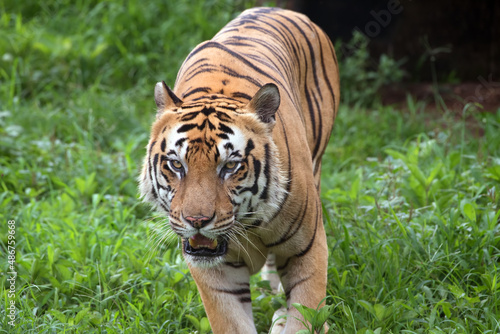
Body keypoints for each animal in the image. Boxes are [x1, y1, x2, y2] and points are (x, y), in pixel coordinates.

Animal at [139, 5, 338, 334]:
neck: (249, 224)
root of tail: (278, 8)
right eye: (176, 164)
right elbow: (231, 322)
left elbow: (305, 316)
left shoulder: (307, 251)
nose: (196, 221)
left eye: (230, 166)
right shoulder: (217, 273)